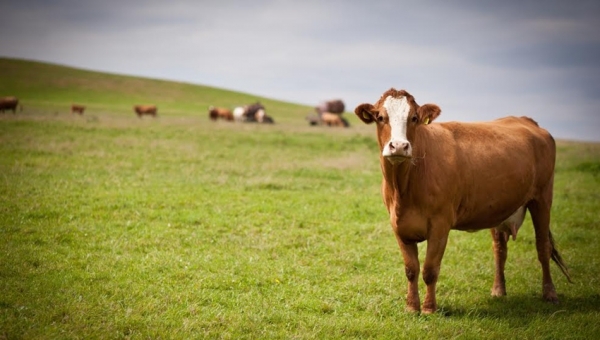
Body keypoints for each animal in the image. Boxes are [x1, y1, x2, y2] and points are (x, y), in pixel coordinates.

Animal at [356, 87, 572, 314]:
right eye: (381, 117)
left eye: (414, 118)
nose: (398, 146)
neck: (405, 188)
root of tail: (527, 121)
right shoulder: (398, 226)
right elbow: (411, 269)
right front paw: (411, 307)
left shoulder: (440, 225)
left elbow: (430, 269)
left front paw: (429, 308)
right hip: (499, 208)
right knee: (500, 249)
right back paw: (498, 290)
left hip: (542, 197)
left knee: (543, 246)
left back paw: (550, 294)